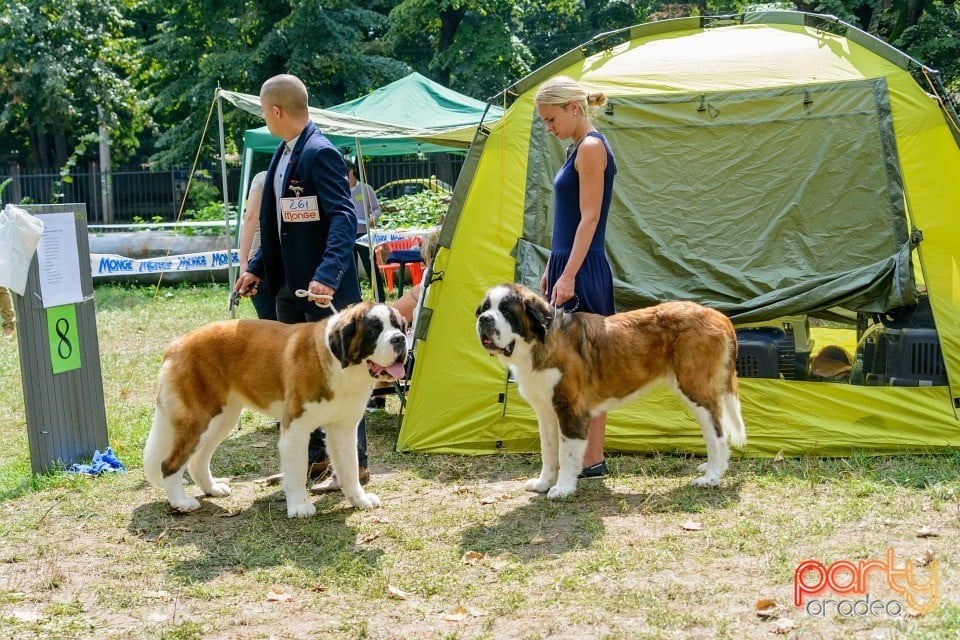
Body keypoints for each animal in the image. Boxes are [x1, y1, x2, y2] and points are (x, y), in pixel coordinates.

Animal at [142, 302, 404, 516]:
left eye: (398, 325)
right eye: (374, 329)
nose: (400, 339)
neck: (338, 364)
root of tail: (177, 344)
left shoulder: (344, 429)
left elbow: (349, 468)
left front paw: (359, 500)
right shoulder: (296, 429)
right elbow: (297, 471)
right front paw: (299, 506)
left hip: (221, 418)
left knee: (197, 459)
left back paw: (212, 489)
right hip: (199, 419)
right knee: (170, 463)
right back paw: (181, 503)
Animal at [476, 284, 748, 500]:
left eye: (507, 311)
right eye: (485, 308)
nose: (484, 320)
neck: (540, 343)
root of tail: (719, 316)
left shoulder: (570, 409)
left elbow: (566, 454)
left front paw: (563, 489)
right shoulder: (546, 412)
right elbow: (549, 451)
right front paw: (544, 483)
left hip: (695, 390)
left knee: (717, 434)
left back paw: (712, 477)